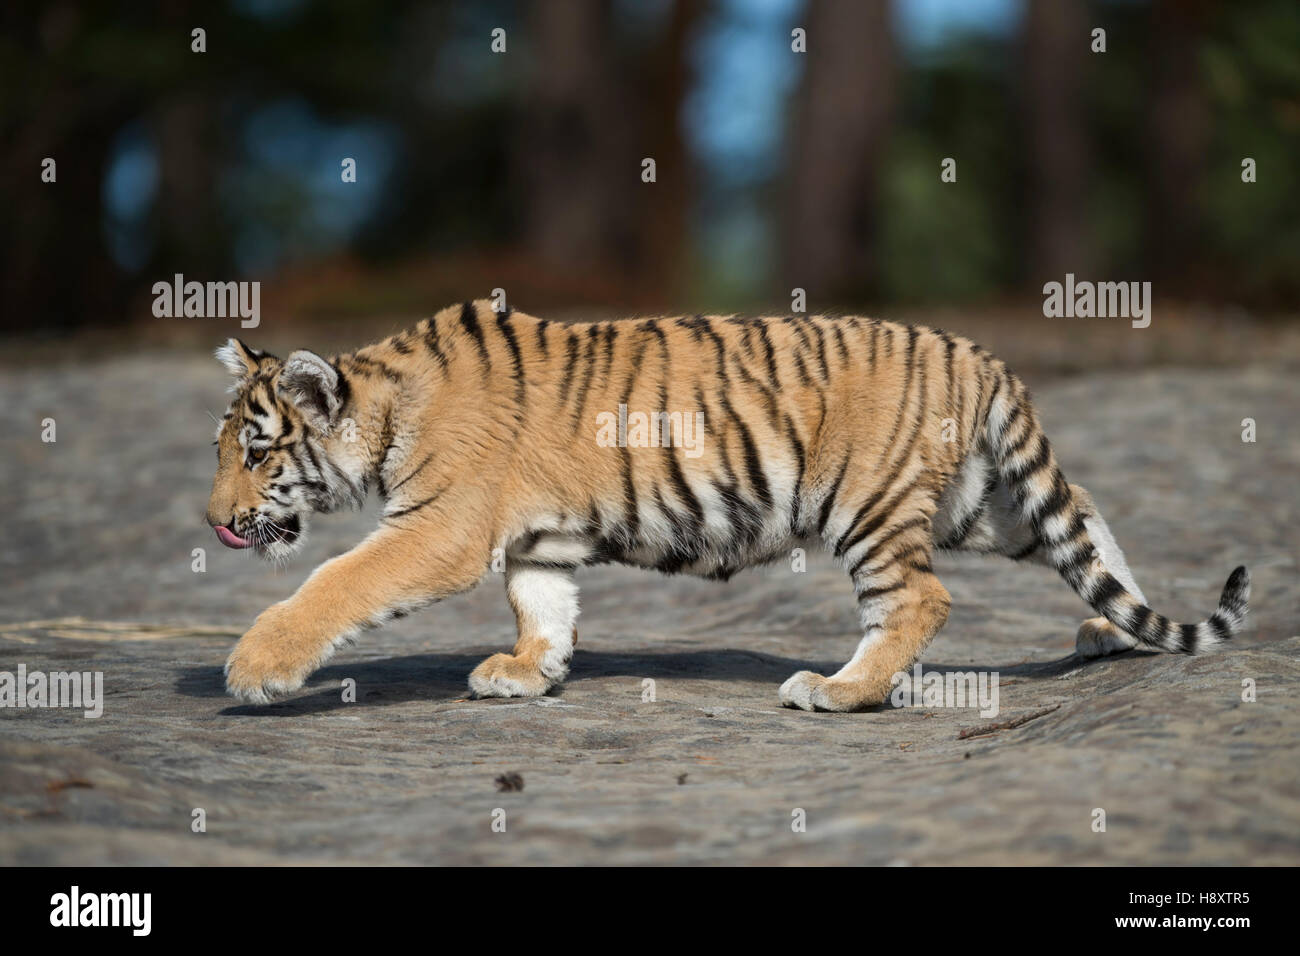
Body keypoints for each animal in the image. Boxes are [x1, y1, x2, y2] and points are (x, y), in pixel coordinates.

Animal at [202, 299, 1248, 712]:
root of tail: (976, 351)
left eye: (256, 454)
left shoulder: (439, 528)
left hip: (869, 504)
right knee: (1089, 524)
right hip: (980, 502)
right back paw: (1112, 633)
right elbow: (543, 604)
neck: (383, 407)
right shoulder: (535, 543)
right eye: (223, 452)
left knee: (919, 600)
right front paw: (529, 672)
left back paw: (839, 691)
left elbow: (336, 583)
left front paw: (254, 669)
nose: (214, 519)